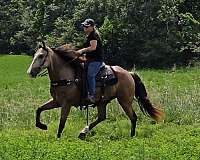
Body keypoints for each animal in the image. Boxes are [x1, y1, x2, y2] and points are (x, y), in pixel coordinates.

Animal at [27, 42, 164, 139]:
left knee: (133, 117)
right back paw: (83, 132)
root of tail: (129, 73)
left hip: (124, 101)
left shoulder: (66, 104)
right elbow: (39, 109)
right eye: (34, 55)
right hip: (102, 102)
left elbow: (62, 121)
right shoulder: (56, 101)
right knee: (102, 117)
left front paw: (58, 138)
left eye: (41, 56)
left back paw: (132, 136)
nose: (30, 72)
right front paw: (42, 126)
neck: (65, 76)